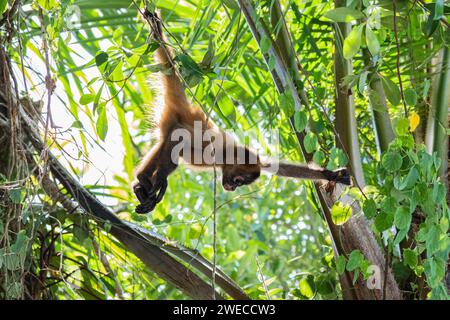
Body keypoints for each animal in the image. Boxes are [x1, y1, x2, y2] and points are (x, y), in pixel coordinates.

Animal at [132, 11, 350, 215]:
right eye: (238, 180)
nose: (233, 188)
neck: (227, 155)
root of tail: (185, 105)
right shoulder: (214, 149)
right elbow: (181, 139)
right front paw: (159, 180)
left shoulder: (258, 160)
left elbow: (280, 168)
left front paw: (331, 174)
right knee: (174, 145)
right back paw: (145, 180)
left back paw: (139, 185)